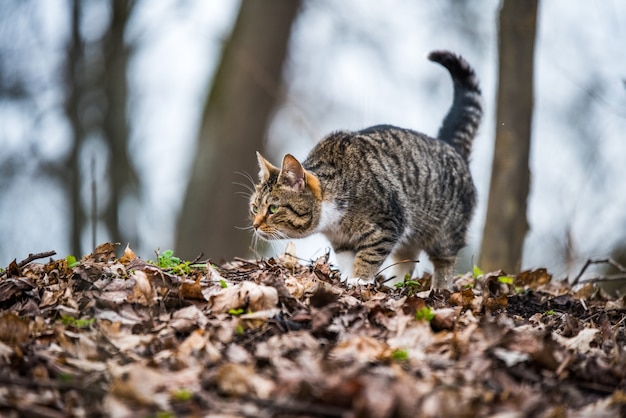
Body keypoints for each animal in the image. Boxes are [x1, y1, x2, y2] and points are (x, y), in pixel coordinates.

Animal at [247, 50, 478, 290]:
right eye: (254, 208)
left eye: (273, 209)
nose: (254, 225)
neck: (335, 221)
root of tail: (452, 147)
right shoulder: (342, 242)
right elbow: (348, 259)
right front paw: (348, 279)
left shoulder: (390, 223)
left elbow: (369, 255)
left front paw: (359, 279)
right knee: (406, 259)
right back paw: (394, 285)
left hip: (445, 232)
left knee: (444, 262)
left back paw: (440, 287)